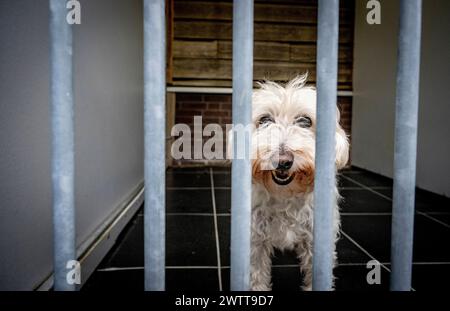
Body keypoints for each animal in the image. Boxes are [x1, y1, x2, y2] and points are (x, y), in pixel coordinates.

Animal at [250, 76, 348, 292]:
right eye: (265, 120)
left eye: (305, 121)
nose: (282, 161)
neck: (285, 194)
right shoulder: (255, 240)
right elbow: (256, 275)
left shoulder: (316, 240)